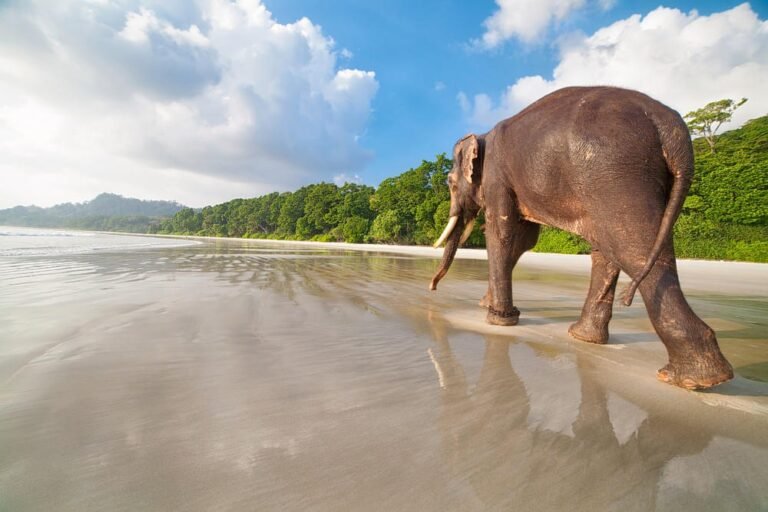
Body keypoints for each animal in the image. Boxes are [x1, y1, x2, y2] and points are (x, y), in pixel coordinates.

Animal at [429, 86, 734, 390]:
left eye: (449, 183)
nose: (431, 287)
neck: (482, 135)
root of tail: (670, 125)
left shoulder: (497, 177)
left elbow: (503, 233)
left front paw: (497, 320)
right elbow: (523, 240)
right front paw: (489, 306)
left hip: (613, 172)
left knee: (632, 247)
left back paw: (694, 379)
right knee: (614, 248)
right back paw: (586, 338)